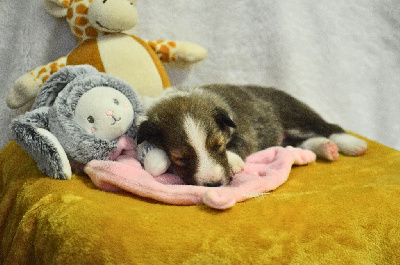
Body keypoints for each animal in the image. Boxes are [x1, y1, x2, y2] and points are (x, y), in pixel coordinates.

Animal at [137, 84, 366, 186]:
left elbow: (239, 144)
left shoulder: (243, 129)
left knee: (327, 126)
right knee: (301, 143)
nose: (214, 184)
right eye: (180, 158)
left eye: (219, 146)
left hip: (295, 114)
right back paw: (326, 148)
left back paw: (352, 144)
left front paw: (233, 161)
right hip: (290, 136)